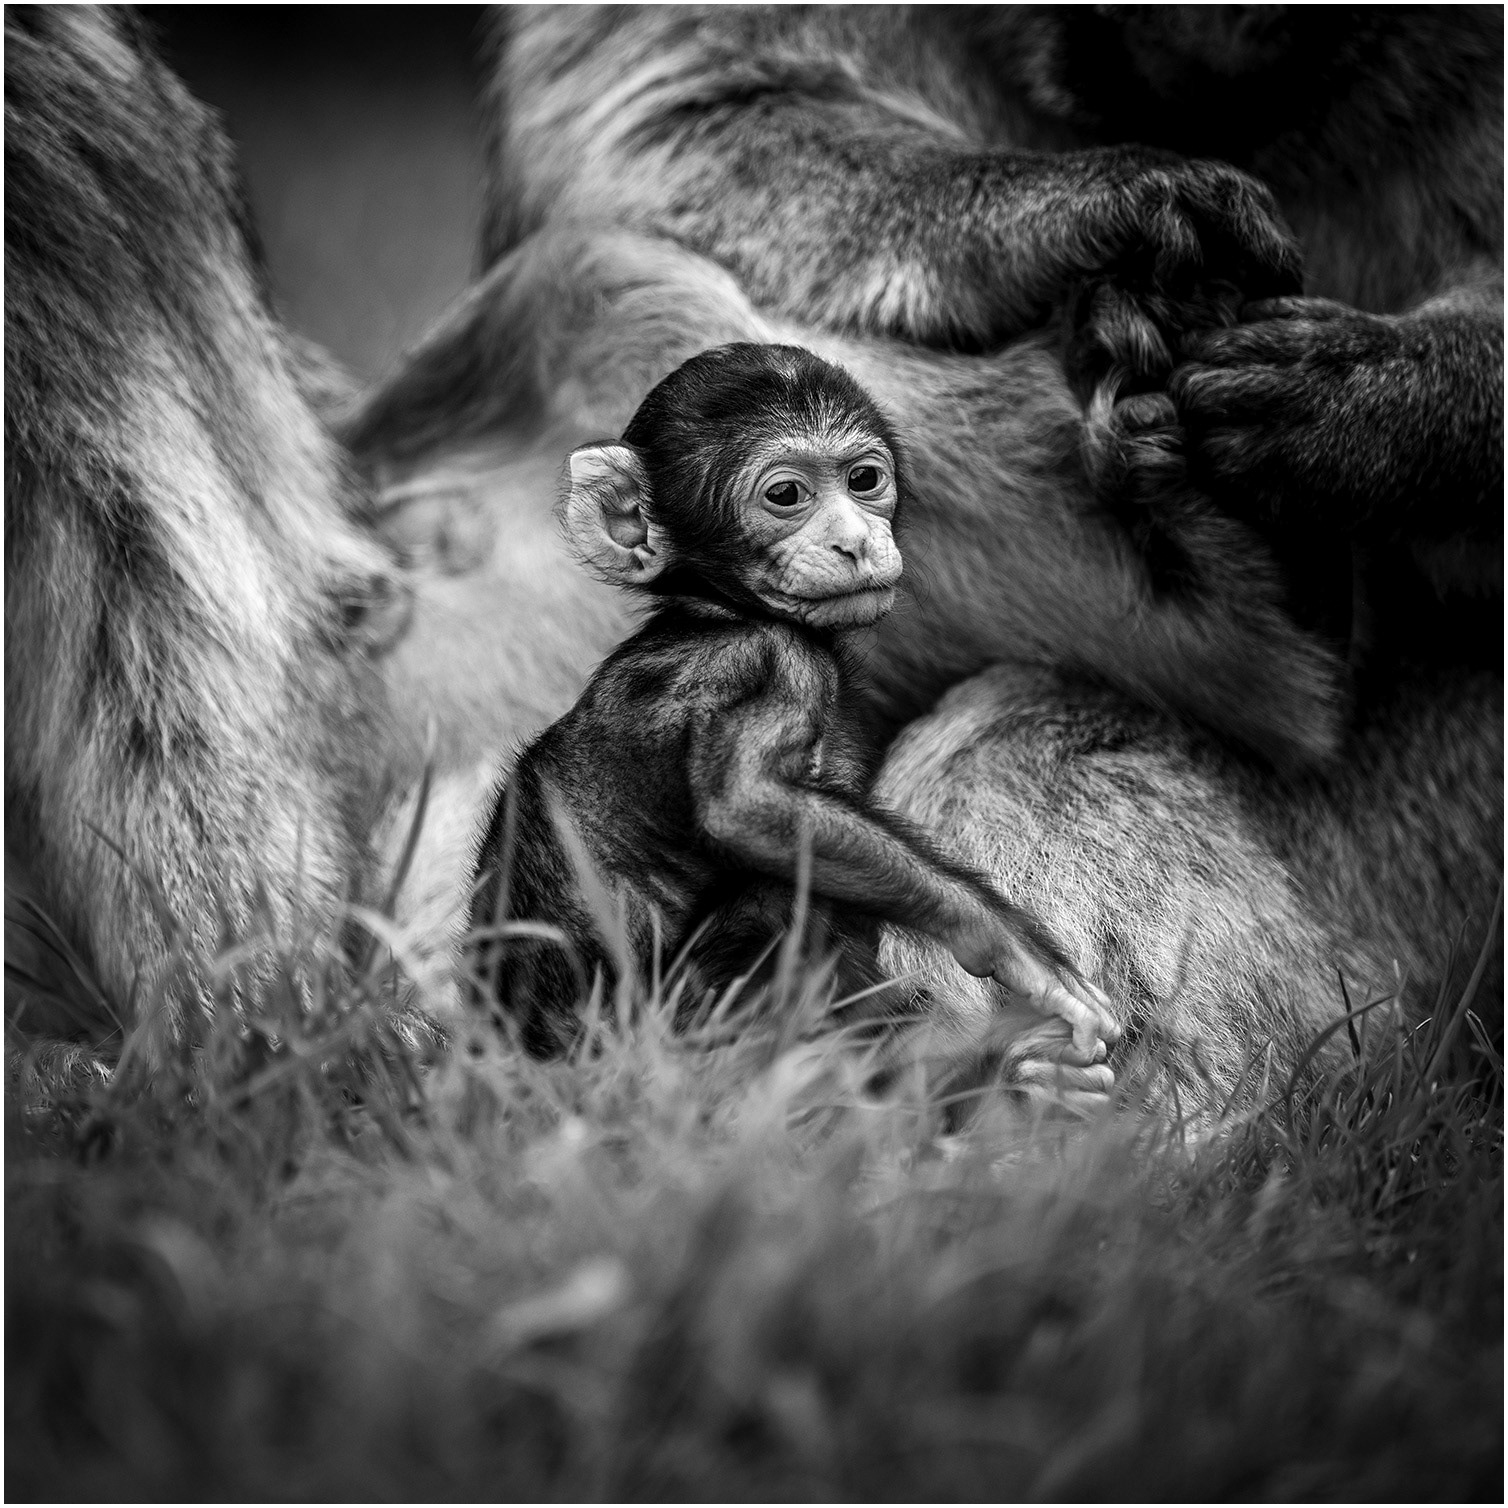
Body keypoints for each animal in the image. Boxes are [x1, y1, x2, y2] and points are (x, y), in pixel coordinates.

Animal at [469, 342, 1121, 1081]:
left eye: (865, 480)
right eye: (785, 496)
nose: (855, 540)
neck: (717, 608)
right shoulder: (777, 663)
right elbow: (748, 805)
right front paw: (1006, 945)